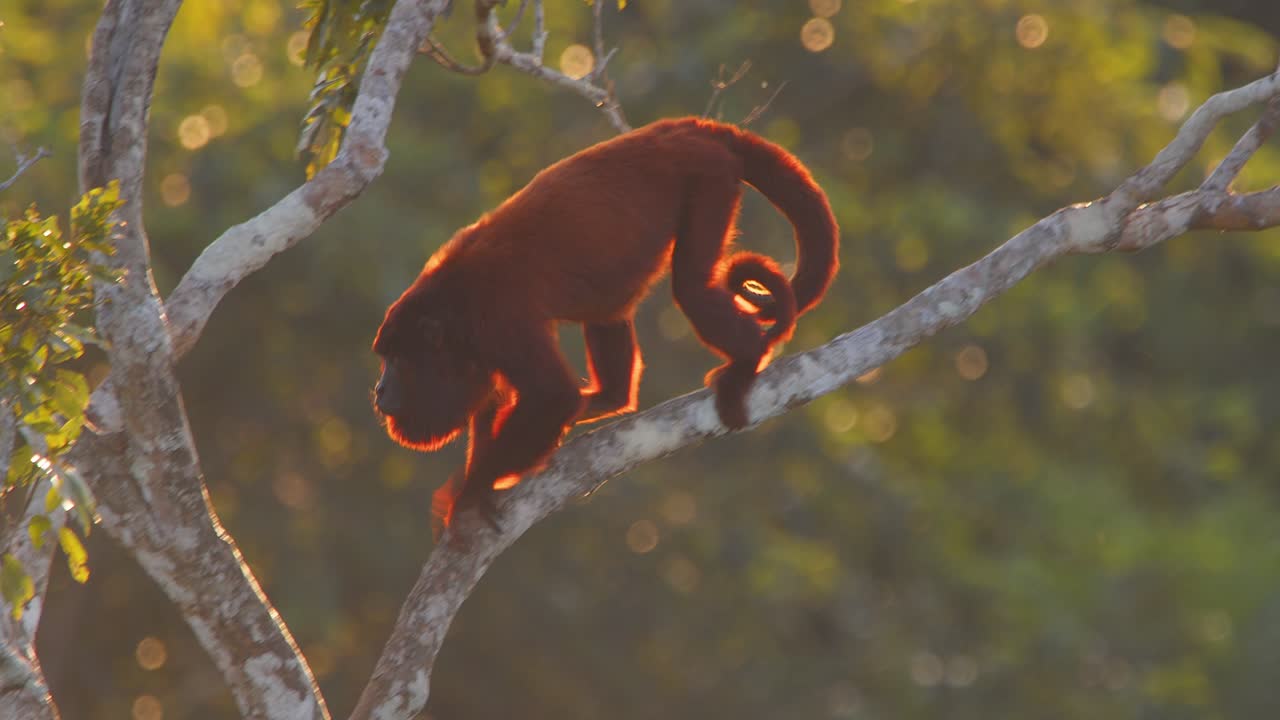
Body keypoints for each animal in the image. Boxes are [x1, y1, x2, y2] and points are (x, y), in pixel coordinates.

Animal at [372, 117, 839, 532]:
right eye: (385, 358)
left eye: (399, 360)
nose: (378, 390)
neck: (452, 309)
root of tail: (689, 128)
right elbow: (491, 401)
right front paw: (480, 478)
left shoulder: (499, 319)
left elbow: (551, 396)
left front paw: (469, 491)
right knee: (607, 309)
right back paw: (605, 398)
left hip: (708, 179)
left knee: (690, 287)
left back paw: (746, 362)